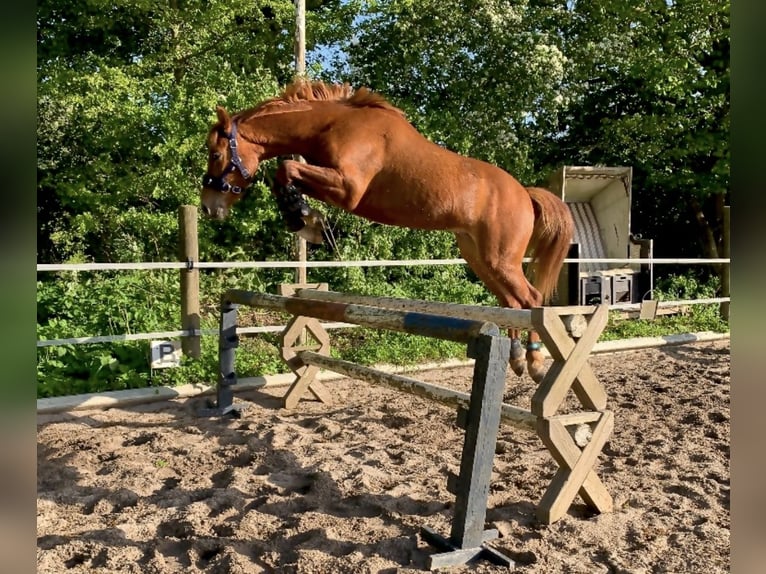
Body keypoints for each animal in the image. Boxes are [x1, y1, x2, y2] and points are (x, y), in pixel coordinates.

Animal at [201, 77, 572, 382]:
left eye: (215, 154)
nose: (208, 206)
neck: (330, 124)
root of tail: (525, 193)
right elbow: (285, 173)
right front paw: (306, 219)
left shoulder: (348, 189)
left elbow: (286, 169)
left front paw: (303, 219)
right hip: (480, 258)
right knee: (511, 302)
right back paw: (517, 358)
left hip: (500, 258)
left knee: (531, 299)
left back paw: (535, 363)